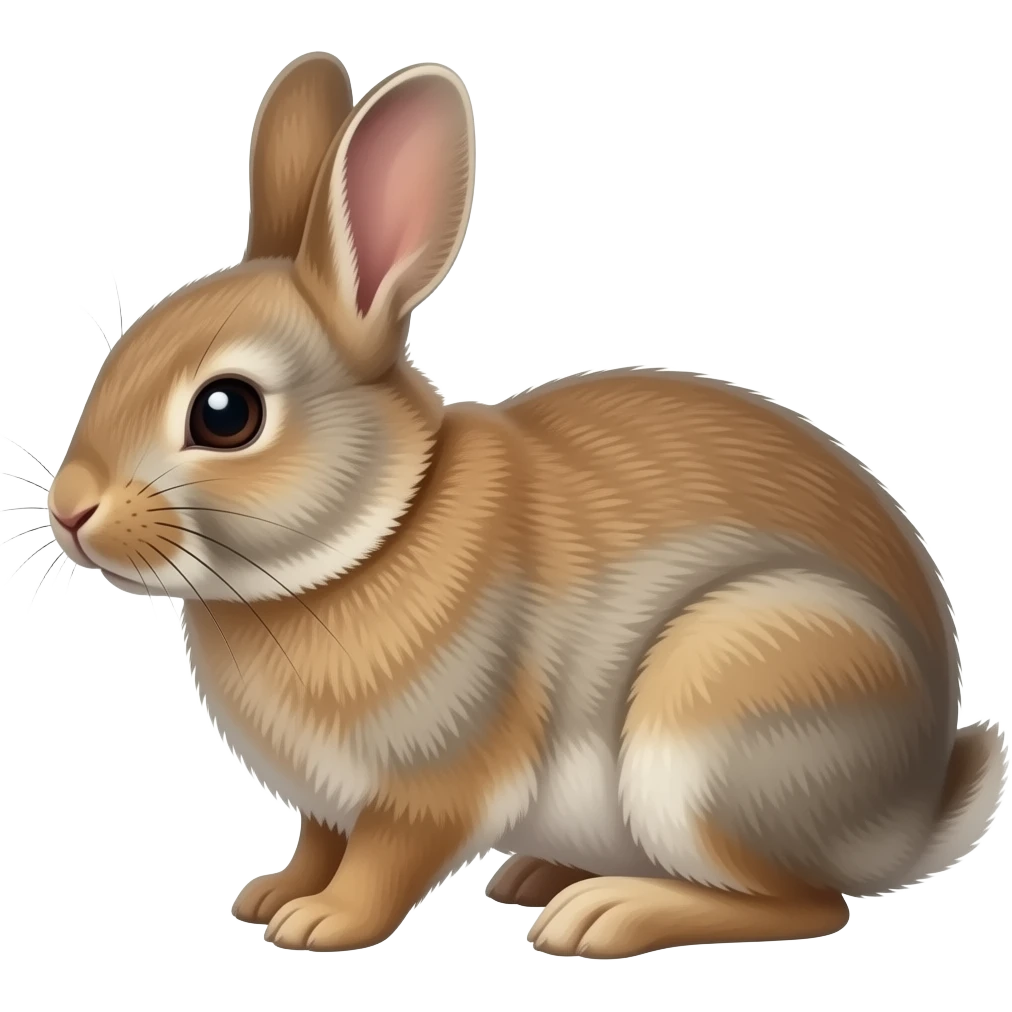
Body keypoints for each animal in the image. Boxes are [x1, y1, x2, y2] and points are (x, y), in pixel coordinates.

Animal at [48, 51, 1005, 959]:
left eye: (226, 413)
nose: (70, 513)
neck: (378, 531)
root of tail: (911, 813)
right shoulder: (326, 803)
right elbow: (320, 842)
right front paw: (271, 897)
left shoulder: (434, 785)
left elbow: (384, 861)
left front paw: (321, 924)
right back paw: (543, 876)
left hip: (724, 713)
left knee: (809, 903)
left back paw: (603, 915)